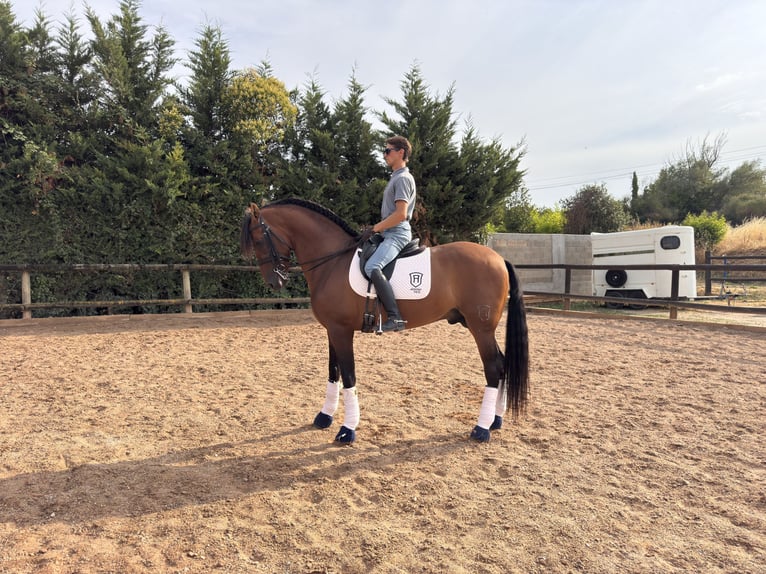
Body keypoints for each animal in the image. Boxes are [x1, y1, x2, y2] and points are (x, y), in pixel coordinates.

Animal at [240, 198, 529, 444]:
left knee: (493, 368)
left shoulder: (342, 331)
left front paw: (347, 430)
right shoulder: (332, 330)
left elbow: (349, 375)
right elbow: (333, 372)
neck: (332, 262)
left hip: (481, 328)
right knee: (502, 364)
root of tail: (498, 258)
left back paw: (481, 429)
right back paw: (495, 421)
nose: (274, 282)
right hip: (475, 325)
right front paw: (324, 417)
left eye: (259, 238)